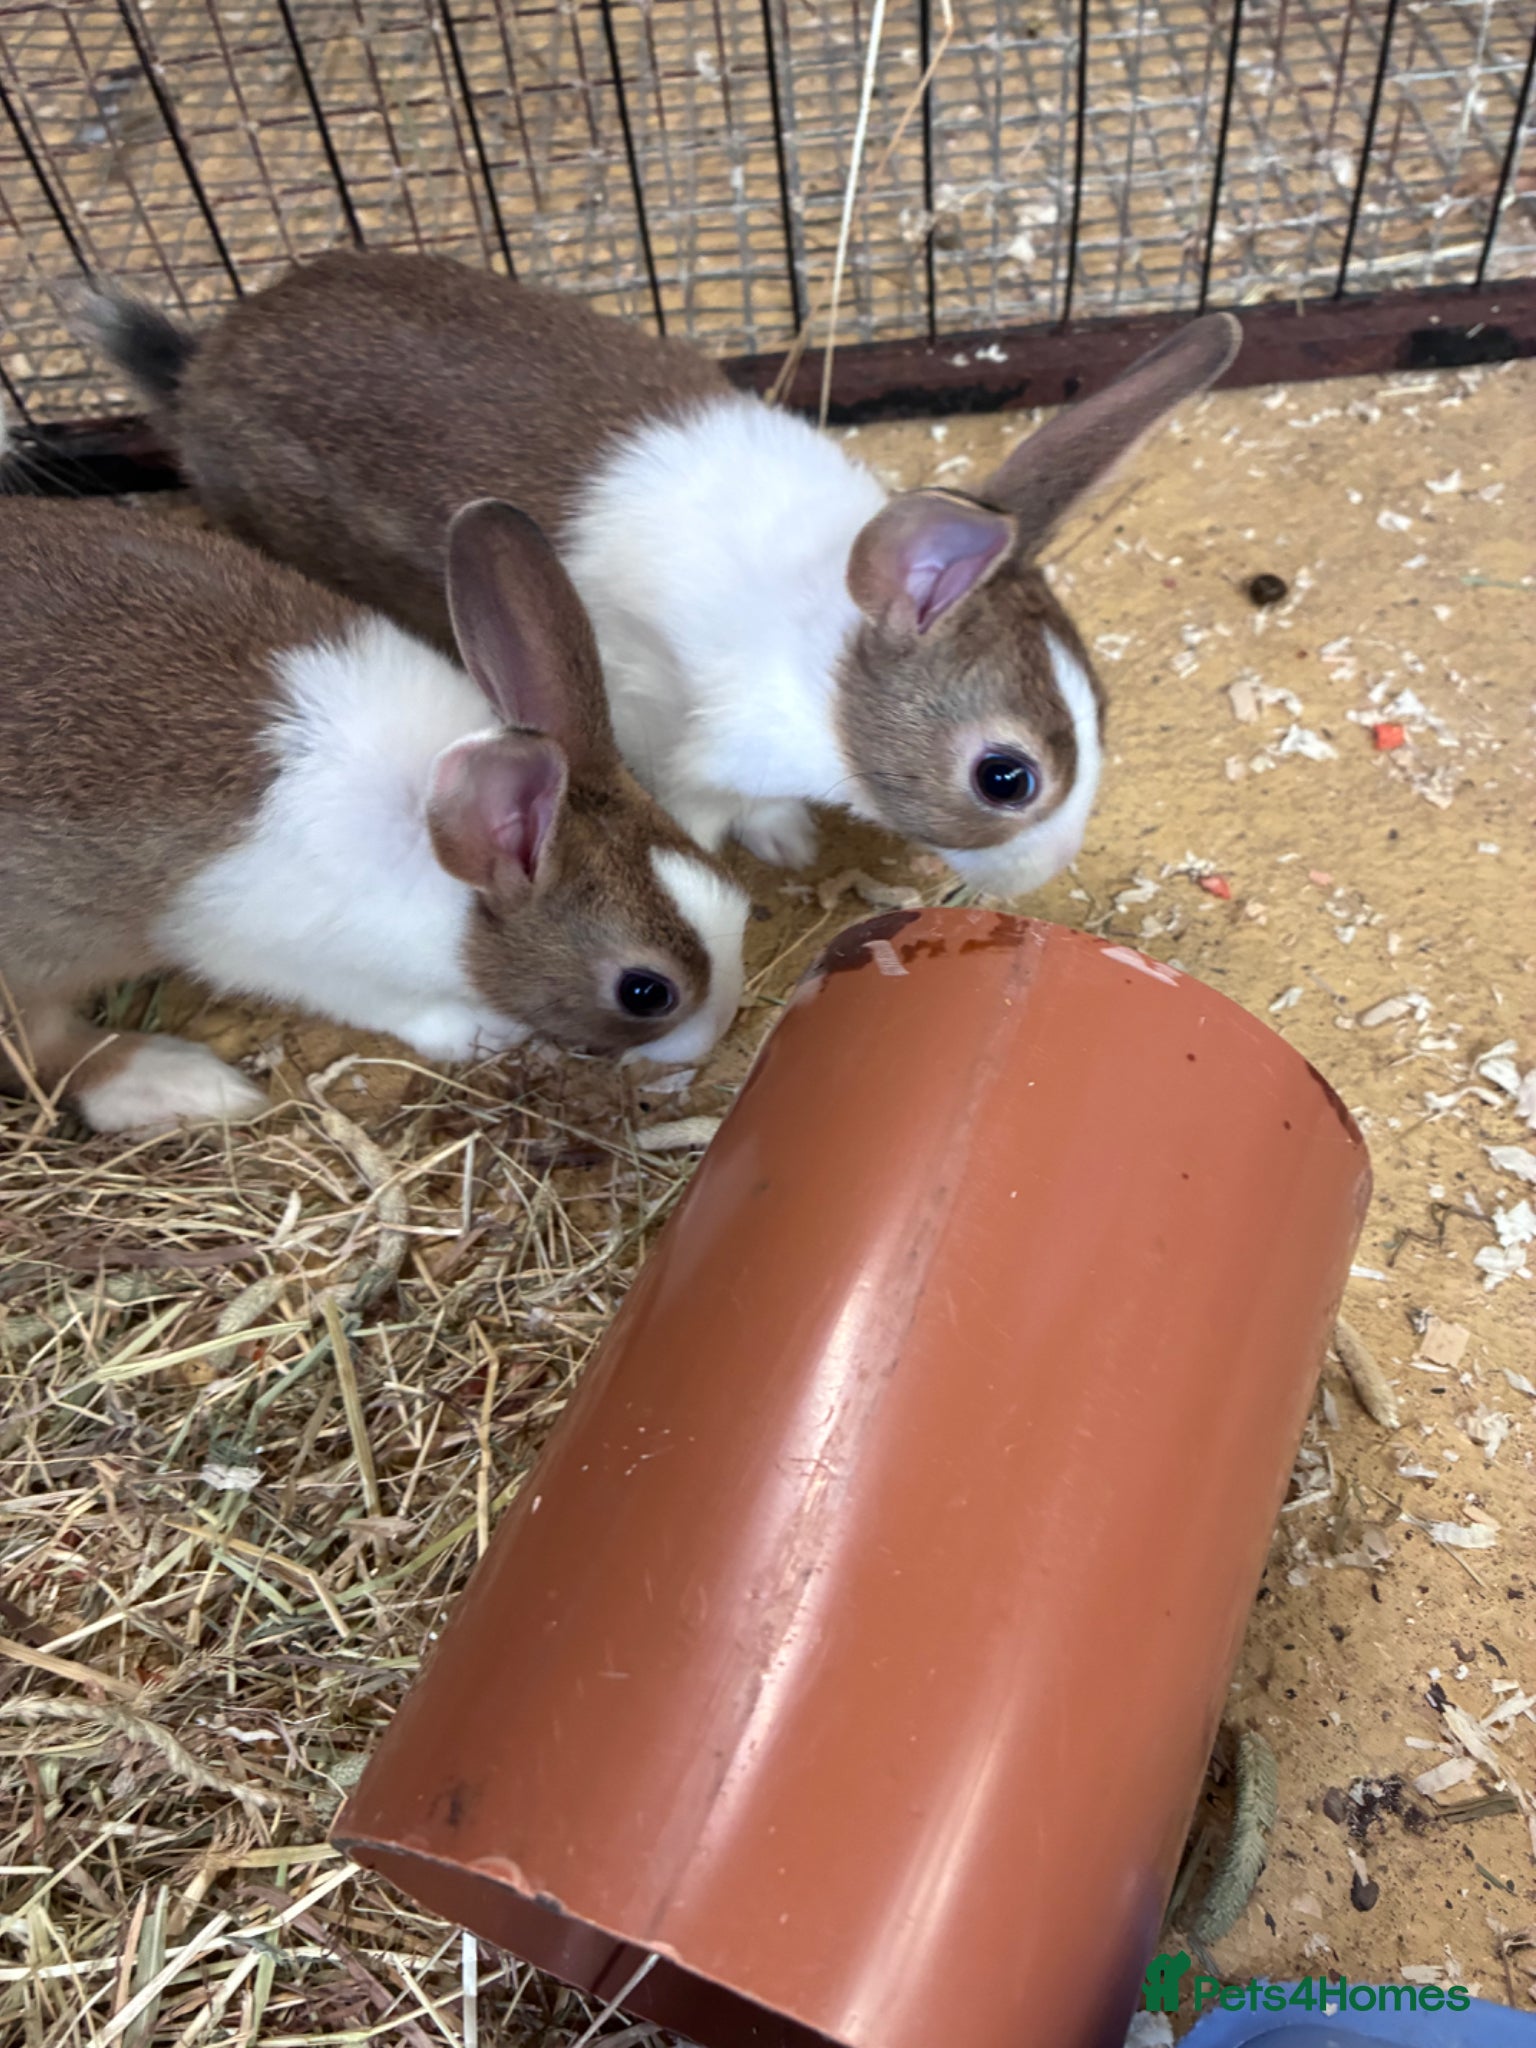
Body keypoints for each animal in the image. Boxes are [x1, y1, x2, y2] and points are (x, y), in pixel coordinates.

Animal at [0, 488, 749, 1134]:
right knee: (44, 1047)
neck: (451, 866)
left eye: (742, 903)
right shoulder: (301, 960)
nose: (711, 1039)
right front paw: (488, 1033)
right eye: (646, 992)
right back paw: (182, 1083)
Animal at [78, 254, 1240, 896]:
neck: (824, 665)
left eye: (1104, 711)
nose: (1047, 876)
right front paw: (780, 841)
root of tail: (196, 369)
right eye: (1006, 778)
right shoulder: (673, 743)